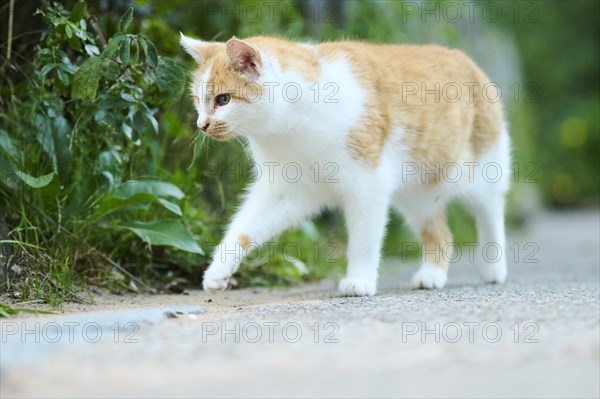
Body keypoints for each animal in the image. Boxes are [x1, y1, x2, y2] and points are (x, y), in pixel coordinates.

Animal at [180, 33, 508, 296]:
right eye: (198, 99)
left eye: (223, 99)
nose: (201, 125)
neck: (292, 125)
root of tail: (460, 56)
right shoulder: (285, 190)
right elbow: (244, 228)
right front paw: (218, 271)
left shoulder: (367, 185)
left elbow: (364, 237)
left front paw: (359, 280)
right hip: (417, 195)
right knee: (440, 233)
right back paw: (431, 275)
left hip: (481, 171)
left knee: (490, 213)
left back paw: (494, 268)